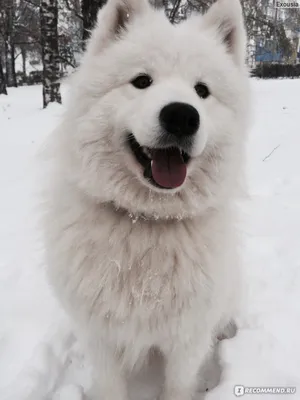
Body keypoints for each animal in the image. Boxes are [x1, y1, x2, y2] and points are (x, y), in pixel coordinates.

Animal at [44, 0, 251, 398]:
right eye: (142, 81)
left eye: (202, 90)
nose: (182, 116)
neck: (147, 222)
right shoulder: (100, 338)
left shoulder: (186, 341)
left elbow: (178, 385)